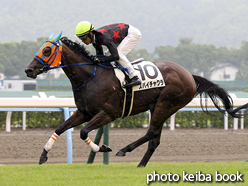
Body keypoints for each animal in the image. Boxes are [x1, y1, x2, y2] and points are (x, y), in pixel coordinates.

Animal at [24, 32, 246, 167]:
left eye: (46, 50)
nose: (29, 70)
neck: (91, 77)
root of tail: (190, 75)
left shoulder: (108, 114)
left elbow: (83, 132)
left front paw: (103, 147)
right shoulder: (83, 112)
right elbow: (61, 128)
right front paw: (43, 155)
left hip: (166, 104)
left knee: (151, 133)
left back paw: (124, 150)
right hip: (160, 107)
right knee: (155, 138)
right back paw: (141, 165)